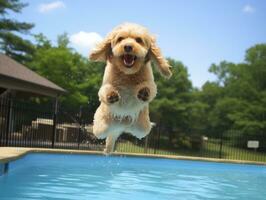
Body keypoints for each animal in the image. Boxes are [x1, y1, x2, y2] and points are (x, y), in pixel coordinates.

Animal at [89, 22, 172, 153]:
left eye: (138, 40)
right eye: (120, 39)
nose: (128, 46)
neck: (128, 73)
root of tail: (122, 125)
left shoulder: (150, 83)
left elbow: (150, 88)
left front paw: (144, 92)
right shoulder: (106, 84)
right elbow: (105, 90)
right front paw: (111, 95)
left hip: (142, 128)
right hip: (102, 127)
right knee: (102, 133)